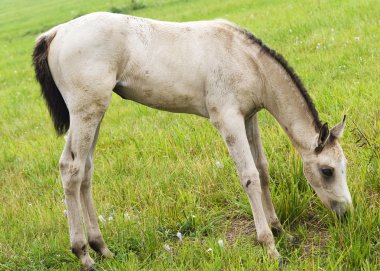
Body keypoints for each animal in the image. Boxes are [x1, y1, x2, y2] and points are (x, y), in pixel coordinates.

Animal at [33, 11, 354, 270]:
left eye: (344, 166)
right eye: (327, 170)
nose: (347, 214)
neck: (245, 59)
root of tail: (56, 32)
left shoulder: (249, 117)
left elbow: (262, 170)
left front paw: (279, 229)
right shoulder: (228, 119)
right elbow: (249, 176)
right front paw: (270, 247)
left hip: (95, 112)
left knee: (85, 170)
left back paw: (102, 248)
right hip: (85, 111)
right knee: (71, 169)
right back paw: (84, 254)